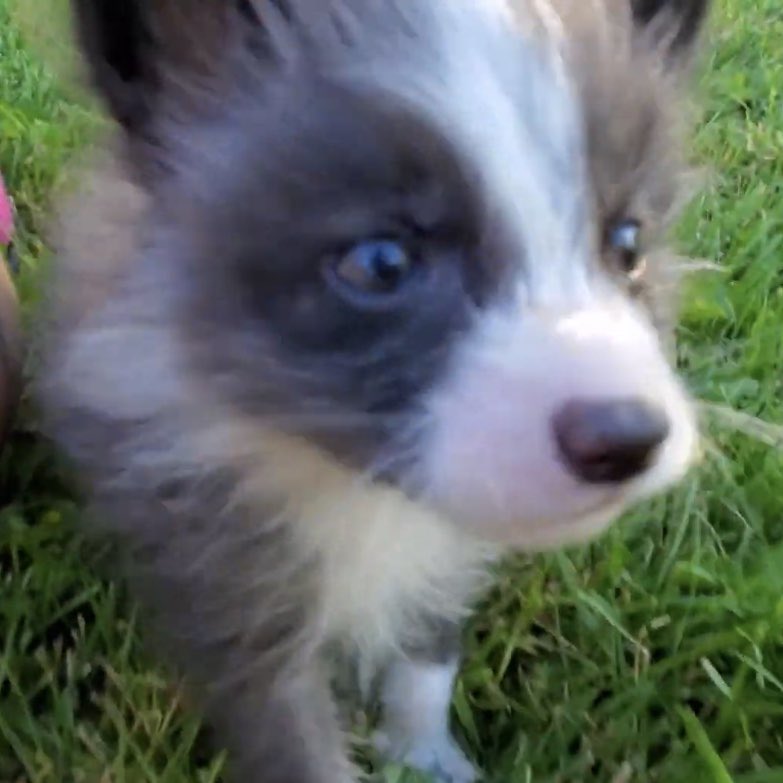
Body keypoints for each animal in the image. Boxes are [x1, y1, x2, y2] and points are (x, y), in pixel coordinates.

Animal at [37, 0, 710, 780]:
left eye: (628, 243)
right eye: (381, 263)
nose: (627, 437)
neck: (349, 485)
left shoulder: (448, 545)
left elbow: (425, 659)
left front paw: (424, 755)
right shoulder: (228, 593)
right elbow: (292, 739)